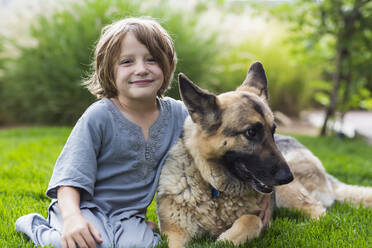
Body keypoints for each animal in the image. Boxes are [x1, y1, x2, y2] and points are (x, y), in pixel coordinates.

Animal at [155, 61, 372, 246]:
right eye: (251, 132)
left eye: (273, 130)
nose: (288, 176)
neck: (214, 188)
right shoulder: (174, 233)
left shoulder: (259, 216)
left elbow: (249, 221)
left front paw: (225, 239)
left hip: (288, 194)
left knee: (320, 211)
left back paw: (299, 226)